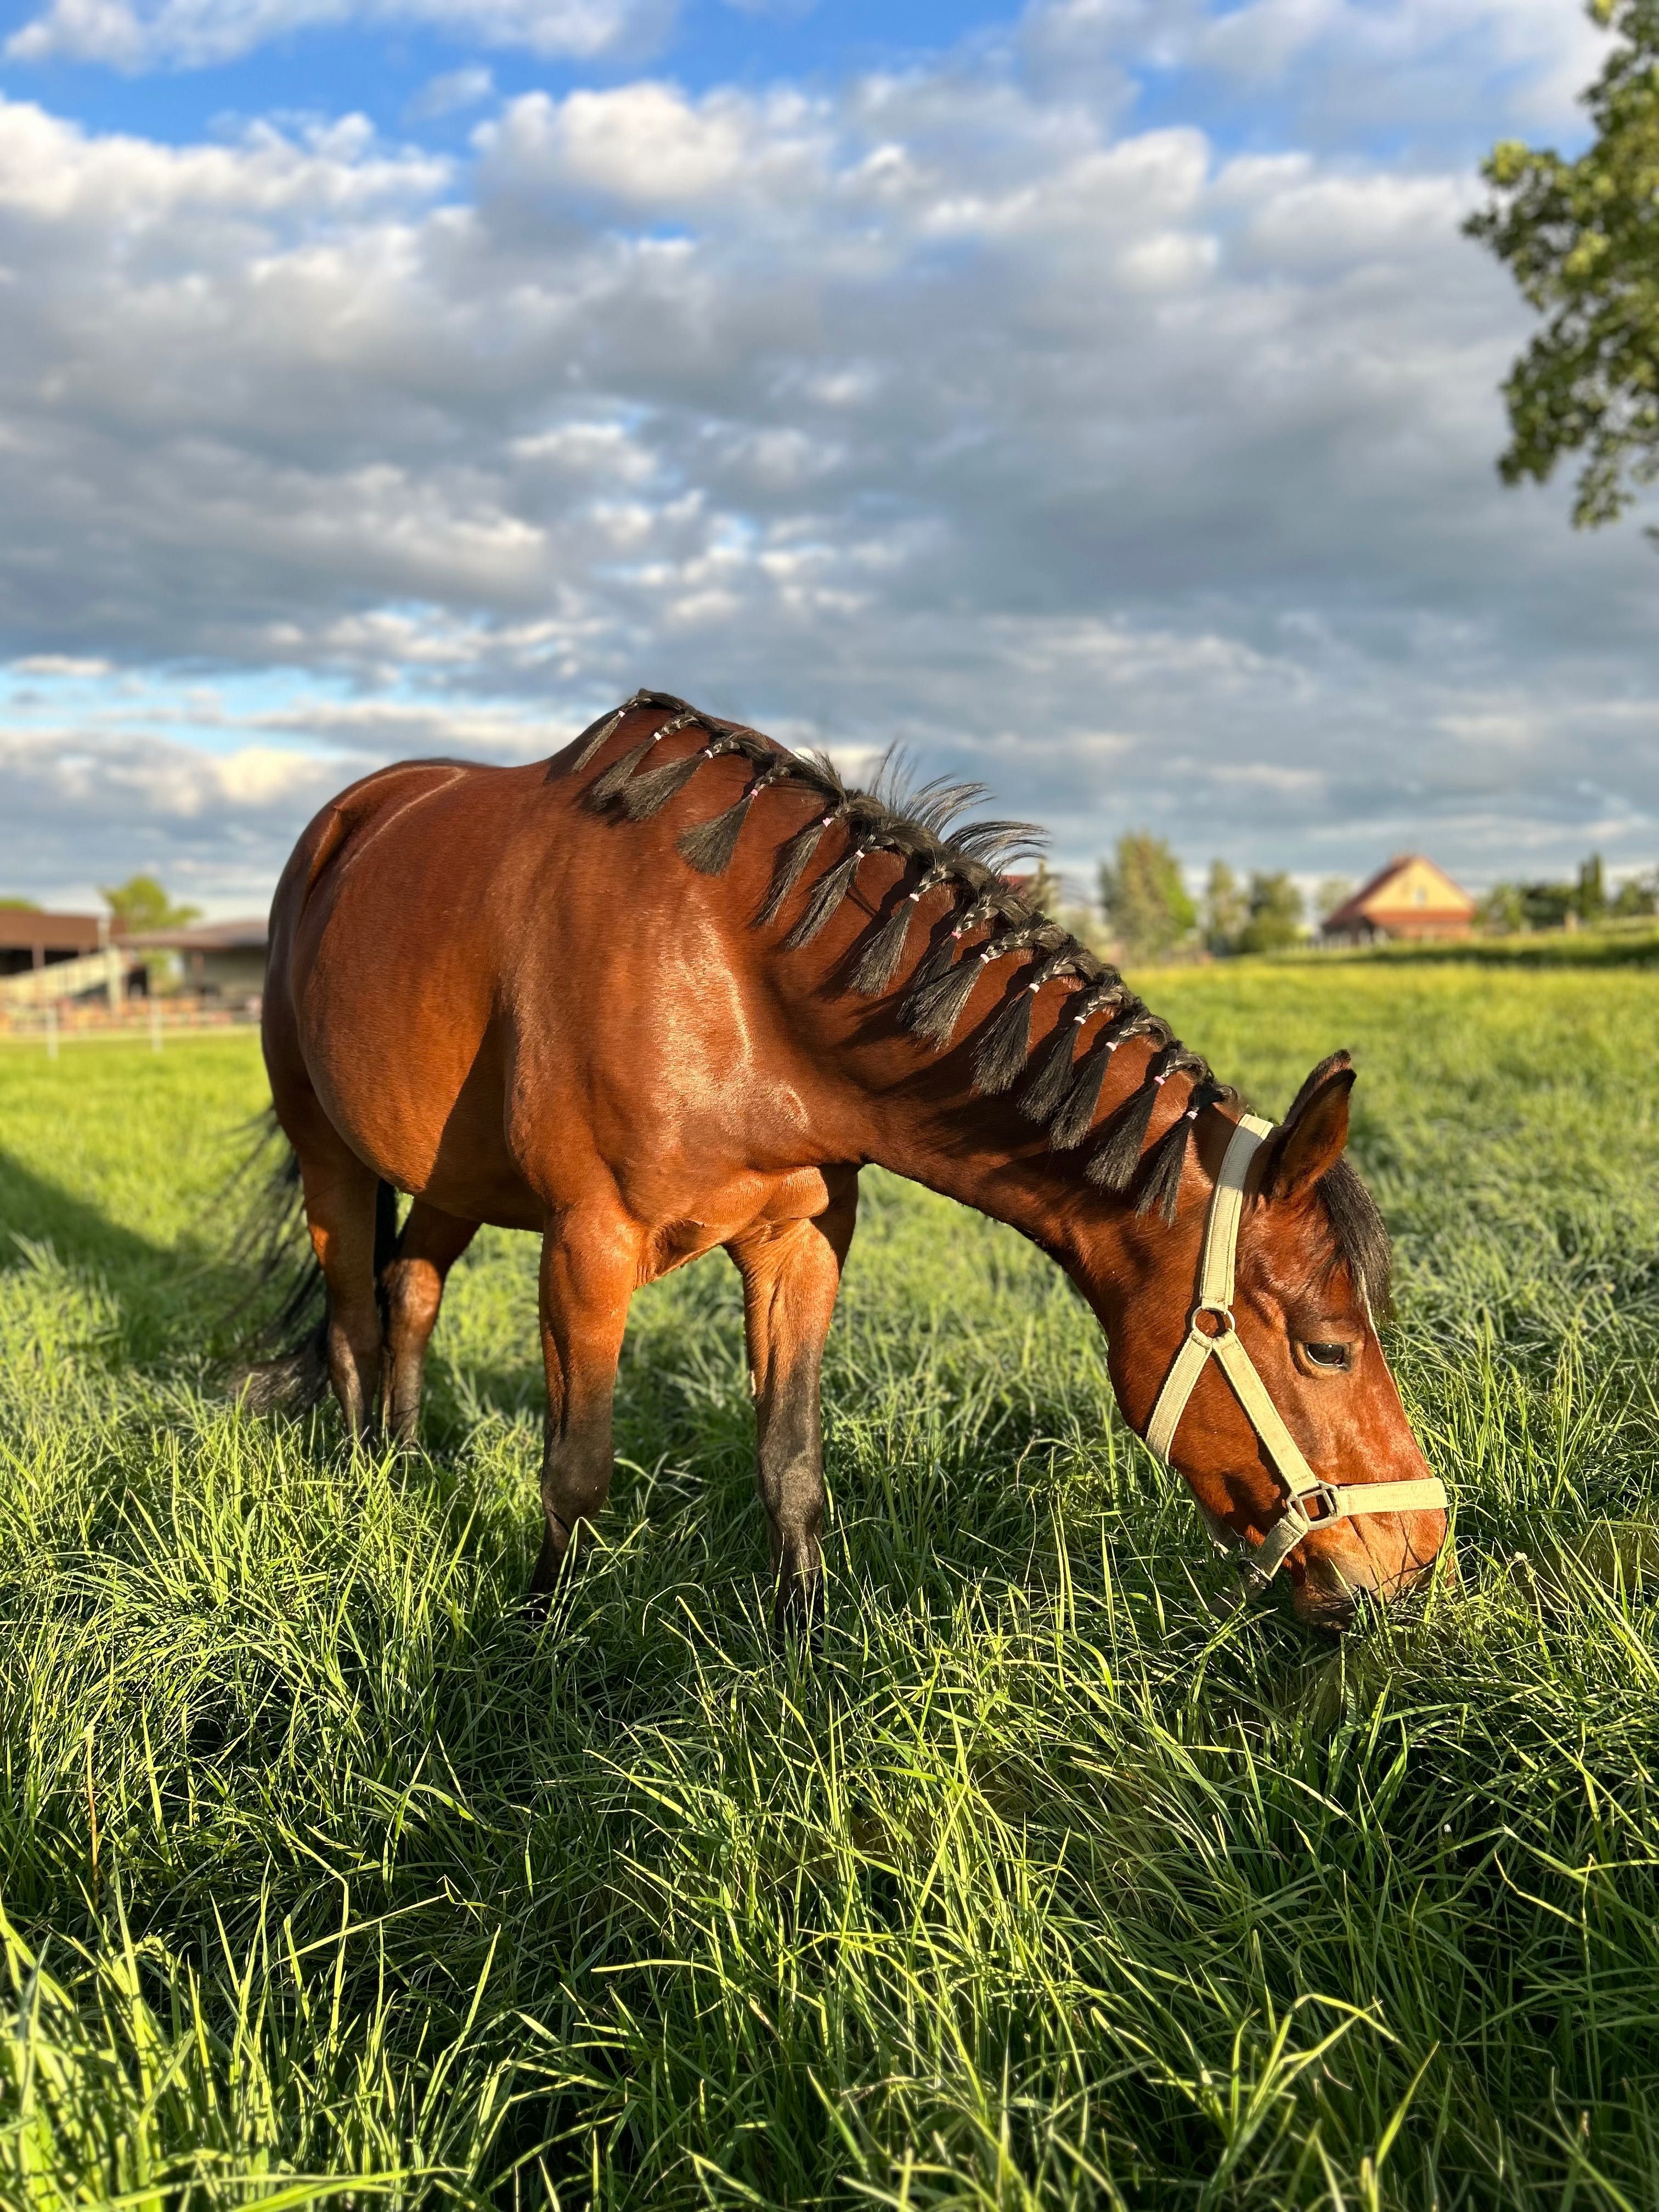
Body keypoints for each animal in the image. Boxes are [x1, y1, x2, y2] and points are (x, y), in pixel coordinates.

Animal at [250, 681, 1451, 1637]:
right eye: (1329, 1346)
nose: (1419, 1555)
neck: (730, 967)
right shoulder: (587, 1248)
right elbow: (576, 1472)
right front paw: (538, 1644)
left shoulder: (801, 1240)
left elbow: (791, 1465)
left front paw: (800, 1656)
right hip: (331, 1157)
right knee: (356, 1323)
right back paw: (372, 1485)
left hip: (453, 1175)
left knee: (412, 1290)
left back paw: (408, 1469)